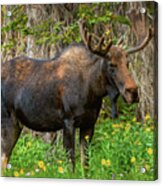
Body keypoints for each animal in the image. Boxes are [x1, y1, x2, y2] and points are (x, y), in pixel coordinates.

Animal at [1, 11, 152, 173]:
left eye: (127, 63)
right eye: (112, 65)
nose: (133, 92)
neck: (93, 91)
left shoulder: (89, 123)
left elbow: (85, 164)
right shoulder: (68, 121)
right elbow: (71, 163)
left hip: (17, 124)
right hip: (7, 121)